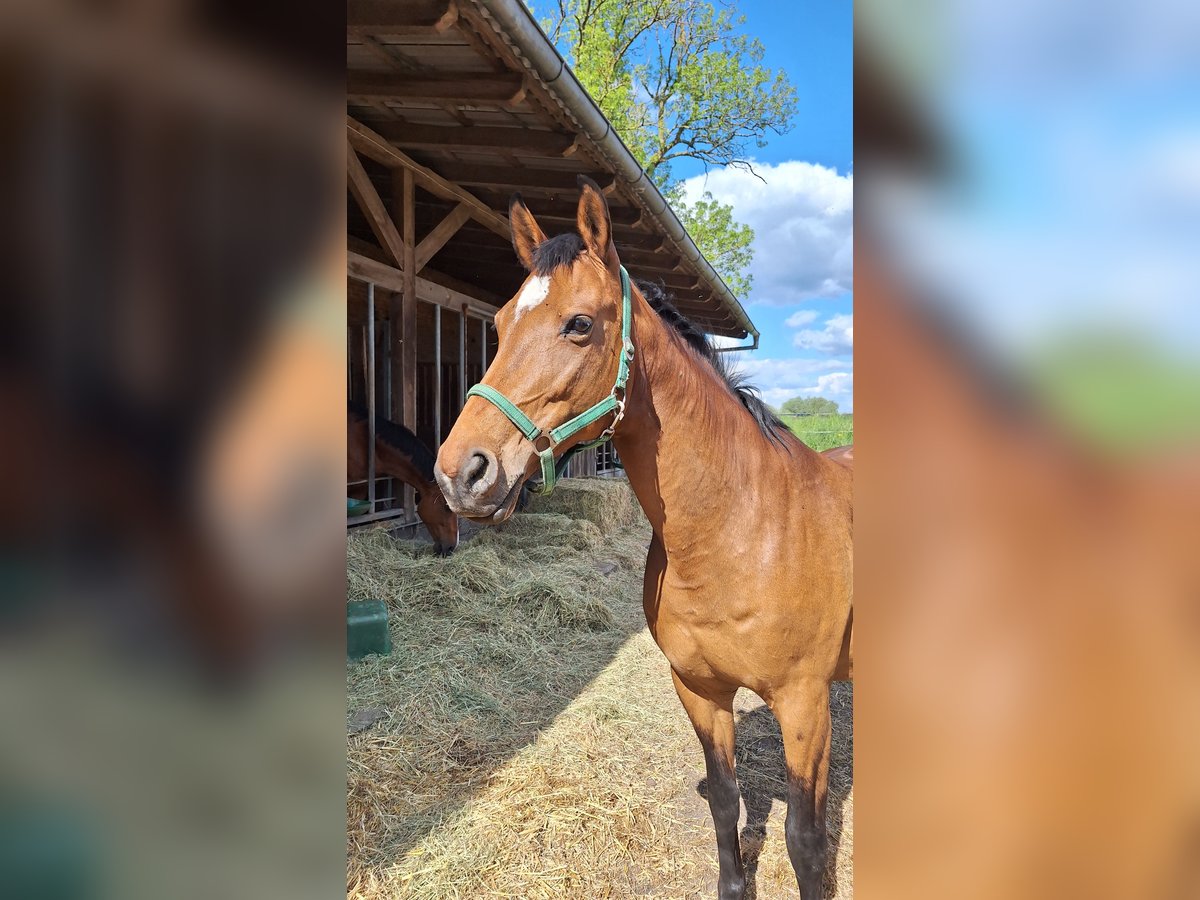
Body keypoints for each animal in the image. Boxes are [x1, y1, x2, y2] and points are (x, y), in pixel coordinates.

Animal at [434, 180, 854, 897]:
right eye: (498, 324)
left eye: (580, 324)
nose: (461, 472)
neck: (740, 532)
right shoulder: (699, 690)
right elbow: (725, 801)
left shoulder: (805, 706)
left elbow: (805, 839)